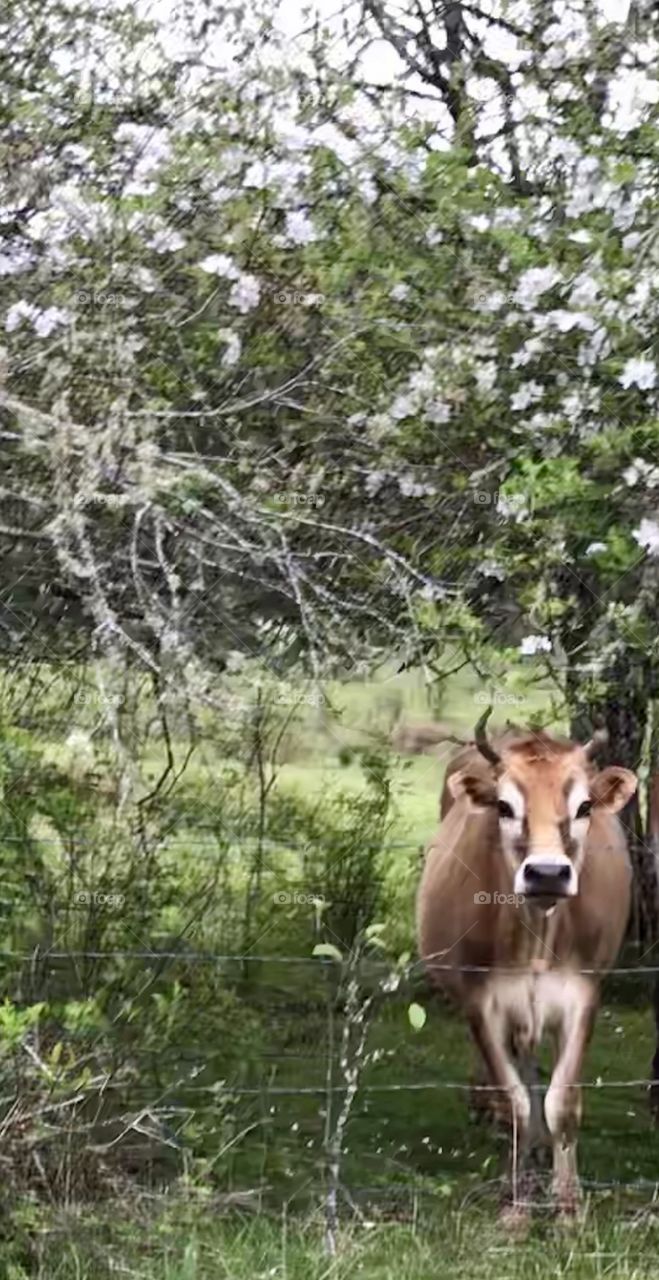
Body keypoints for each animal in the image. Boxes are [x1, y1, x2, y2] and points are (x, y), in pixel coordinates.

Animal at [415, 709, 636, 1225]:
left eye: (584, 807)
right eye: (503, 806)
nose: (547, 873)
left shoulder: (583, 997)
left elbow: (564, 1102)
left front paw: (569, 1208)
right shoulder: (481, 1003)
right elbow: (514, 1101)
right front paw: (515, 1211)